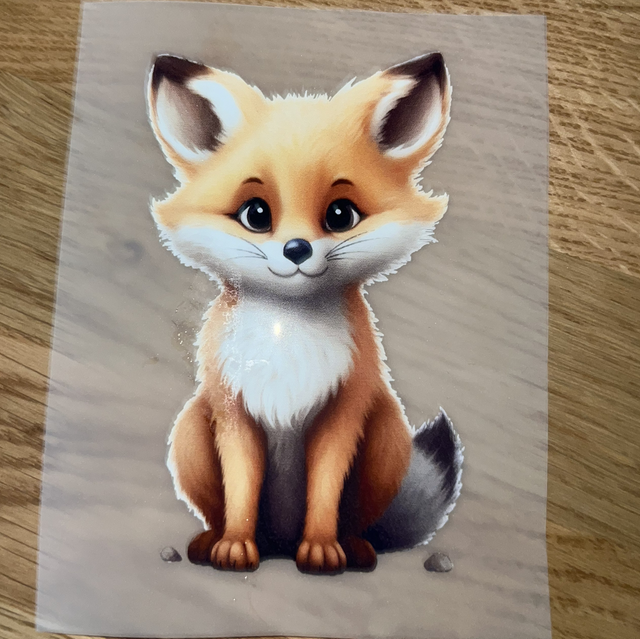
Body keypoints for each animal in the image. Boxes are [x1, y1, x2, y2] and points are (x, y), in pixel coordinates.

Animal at [146, 51, 463, 574]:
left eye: (340, 215)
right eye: (256, 214)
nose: (296, 249)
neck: (286, 336)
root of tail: (279, 537)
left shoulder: (343, 412)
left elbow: (325, 492)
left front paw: (320, 548)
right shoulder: (234, 412)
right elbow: (241, 491)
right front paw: (235, 545)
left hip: (385, 431)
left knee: (356, 522)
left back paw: (354, 549)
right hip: (192, 426)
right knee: (219, 510)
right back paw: (211, 542)